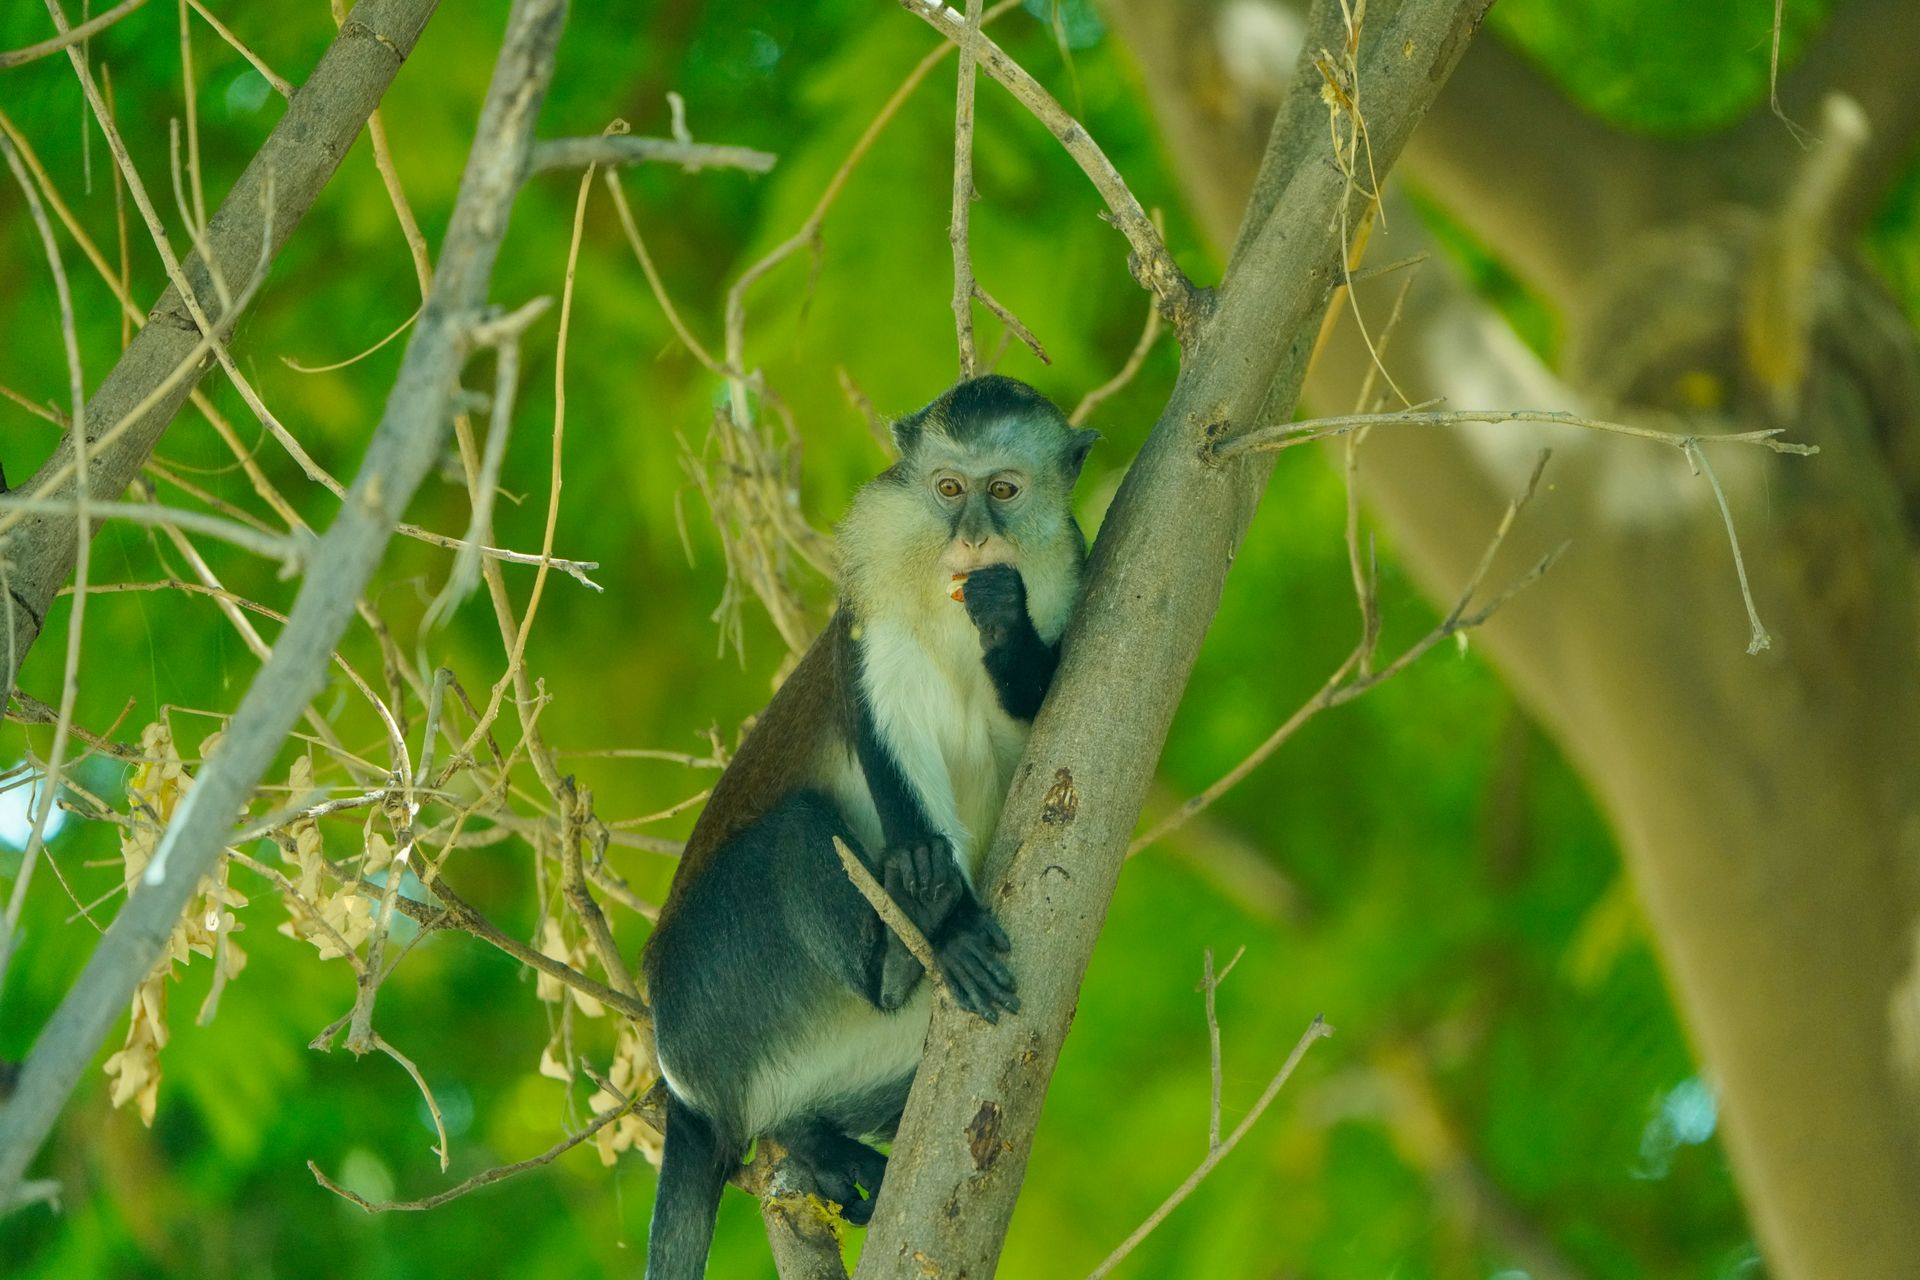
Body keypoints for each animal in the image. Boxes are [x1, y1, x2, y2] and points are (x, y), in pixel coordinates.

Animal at [640, 375, 1098, 1280]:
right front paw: (946, 919)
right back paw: (905, 942)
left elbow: (1040, 704)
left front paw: (1005, 615)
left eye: (1003, 491)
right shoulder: (872, 605)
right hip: (719, 982)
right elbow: (886, 737)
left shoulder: (1068, 571)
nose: (972, 539)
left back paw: (818, 1143)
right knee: (792, 831)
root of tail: (686, 1090)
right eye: (948, 489)